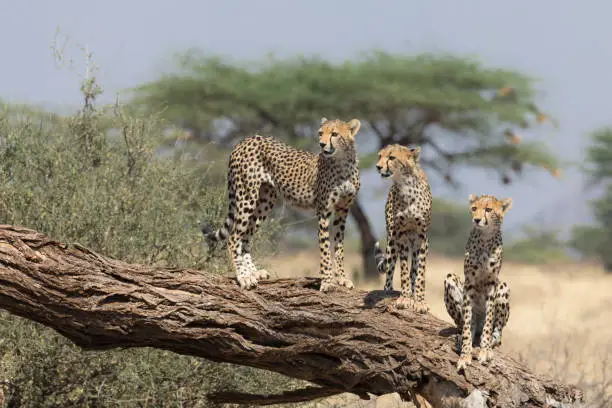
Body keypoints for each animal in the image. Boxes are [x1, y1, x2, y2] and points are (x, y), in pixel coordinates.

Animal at [201, 116, 364, 292]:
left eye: (334, 134)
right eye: (320, 133)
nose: (321, 144)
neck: (342, 162)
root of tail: (246, 139)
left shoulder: (343, 210)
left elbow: (339, 248)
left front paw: (342, 279)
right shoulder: (323, 211)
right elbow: (325, 249)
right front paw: (327, 281)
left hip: (265, 201)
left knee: (245, 239)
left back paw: (254, 272)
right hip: (247, 196)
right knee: (233, 238)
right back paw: (244, 277)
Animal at [370, 143, 432, 312]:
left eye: (391, 157)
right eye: (379, 156)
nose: (378, 166)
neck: (406, 185)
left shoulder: (422, 236)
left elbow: (420, 272)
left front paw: (419, 300)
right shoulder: (401, 235)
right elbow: (403, 271)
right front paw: (404, 298)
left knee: (414, 269)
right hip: (392, 240)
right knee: (390, 268)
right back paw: (389, 290)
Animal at [442, 194, 512, 372]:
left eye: (488, 209)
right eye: (474, 208)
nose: (477, 219)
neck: (485, 237)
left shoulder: (492, 284)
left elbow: (489, 321)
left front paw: (485, 350)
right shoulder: (470, 284)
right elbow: (467, 323)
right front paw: (465, 354)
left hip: (503, 286)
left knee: (497, 335)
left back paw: (489, 343)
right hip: (450, 278)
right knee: (464, 324)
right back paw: (462, 338)